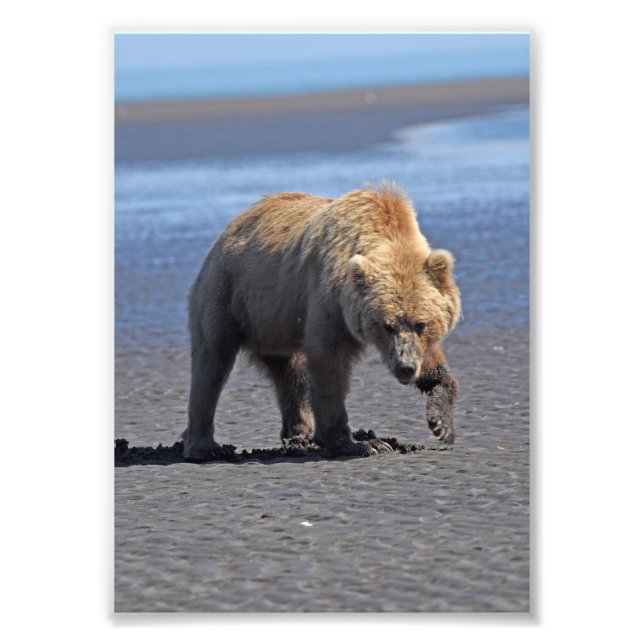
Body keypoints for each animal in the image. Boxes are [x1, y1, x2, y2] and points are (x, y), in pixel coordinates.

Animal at [183, 183, 460, 461]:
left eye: (420, 324)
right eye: (386, 325)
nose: (405, 368)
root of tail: (228, 231)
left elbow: (430, 358)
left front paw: (441, 423)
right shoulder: (328, 298)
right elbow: (329, 362)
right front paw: (358, 443)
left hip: (274, 321)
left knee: (290, 372)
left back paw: (299, 436)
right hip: (226, 294)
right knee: (212, 362)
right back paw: (203, 446)